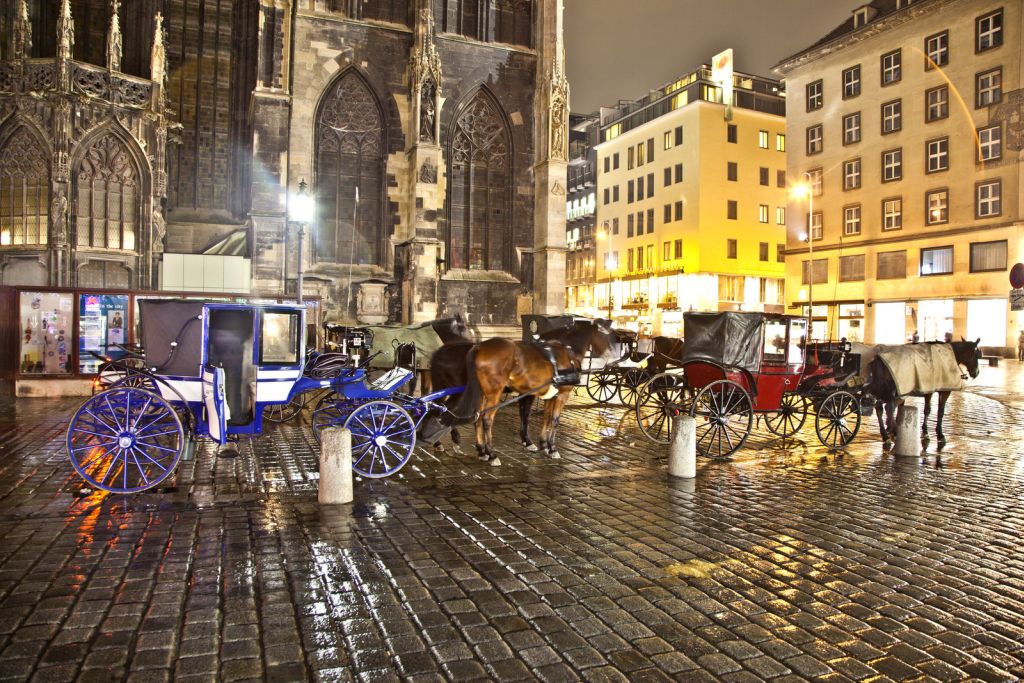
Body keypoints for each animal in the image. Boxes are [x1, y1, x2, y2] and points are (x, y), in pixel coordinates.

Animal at [419, 319, 610, 464]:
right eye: (607, 334)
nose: (608, 356)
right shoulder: (557, 394)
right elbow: (544, 418)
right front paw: (547, 446)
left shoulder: (545, 394)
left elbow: (543, 417)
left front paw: (540, 443)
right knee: (470, 416)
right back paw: (483, 451)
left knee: (448, 412)